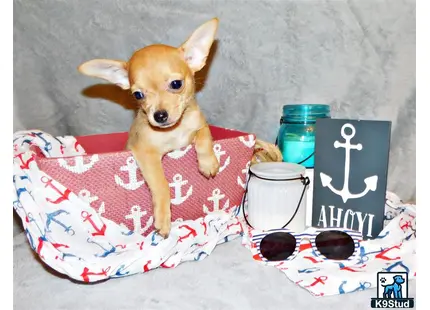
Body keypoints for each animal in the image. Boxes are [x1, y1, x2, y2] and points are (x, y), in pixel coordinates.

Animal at [78, 18, 222, 239]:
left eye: (176, 84)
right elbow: (162, 185)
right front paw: (163, 218)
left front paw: (208, 162)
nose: (159, 116)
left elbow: (204, 135)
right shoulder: (146, 154)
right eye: (138, 95)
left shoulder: (199, 125)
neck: (174, 131)